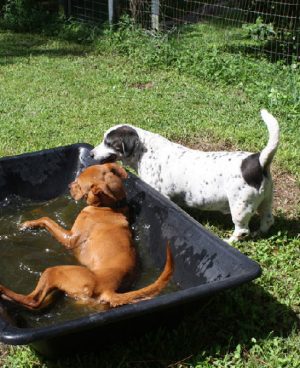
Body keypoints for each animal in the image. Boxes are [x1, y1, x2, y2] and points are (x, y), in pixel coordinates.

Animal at [0, 162, 173, 310]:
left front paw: (29, 223)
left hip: (55, 271)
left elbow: (47, 219)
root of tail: (109, 289)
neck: (109, 207)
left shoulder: (70, 238)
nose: (69, 186)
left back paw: (2, 290)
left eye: (78, 183)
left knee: (33, 301)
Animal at [90, 110, 280, 242]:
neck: (145, 151)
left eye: (109, 143)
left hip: (240, 206)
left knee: (242, 230)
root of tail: (257, 160)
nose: (91, 154)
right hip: (265, 200)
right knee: (267, 220)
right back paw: (258, 233)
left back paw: (230, 241)